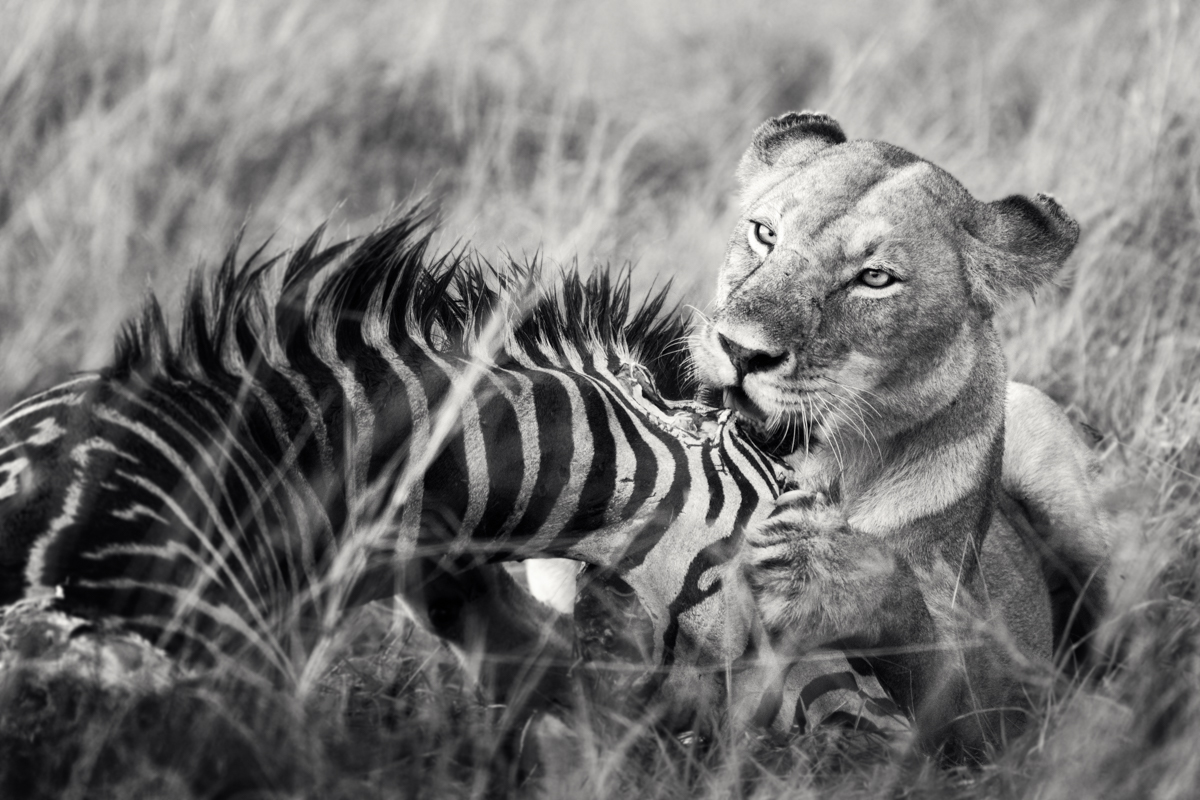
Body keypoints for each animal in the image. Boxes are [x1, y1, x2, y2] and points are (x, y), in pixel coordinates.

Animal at [690, 111, 1112, 759]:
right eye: (764, 234)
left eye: (874, 278)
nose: (739, 350)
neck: (829, 469)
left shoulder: (989, 714)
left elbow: (925, 643)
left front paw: (821, 564)